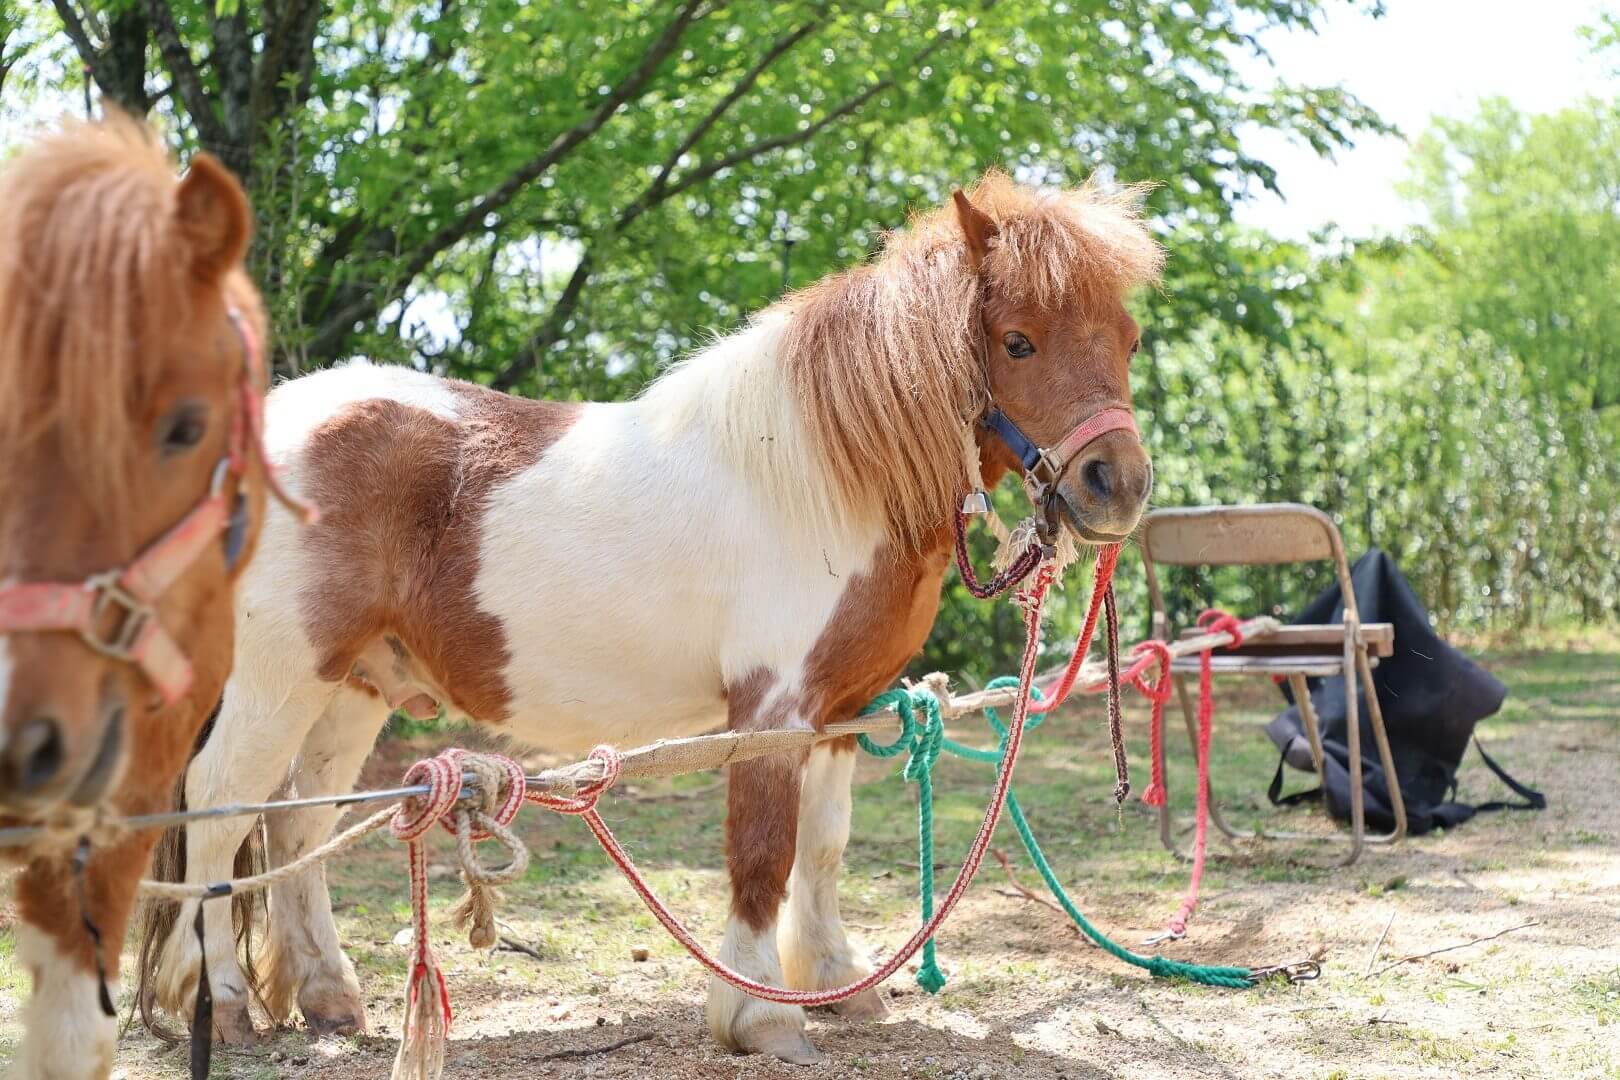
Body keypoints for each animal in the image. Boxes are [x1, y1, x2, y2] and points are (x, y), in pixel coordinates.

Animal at [149, 173, 1166, 1062]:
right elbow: (762, 852)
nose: (1116, 485)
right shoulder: (772, 708)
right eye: (1018, 341)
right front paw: (760, 1017)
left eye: (1128, 338)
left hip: (355, 685)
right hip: (277, 679)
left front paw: (837, 982)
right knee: (219, 812)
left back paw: (328, 997)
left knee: (296, 828)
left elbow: (824, 846)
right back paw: (221, 1005)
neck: (820, 474)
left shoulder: (841, 709)